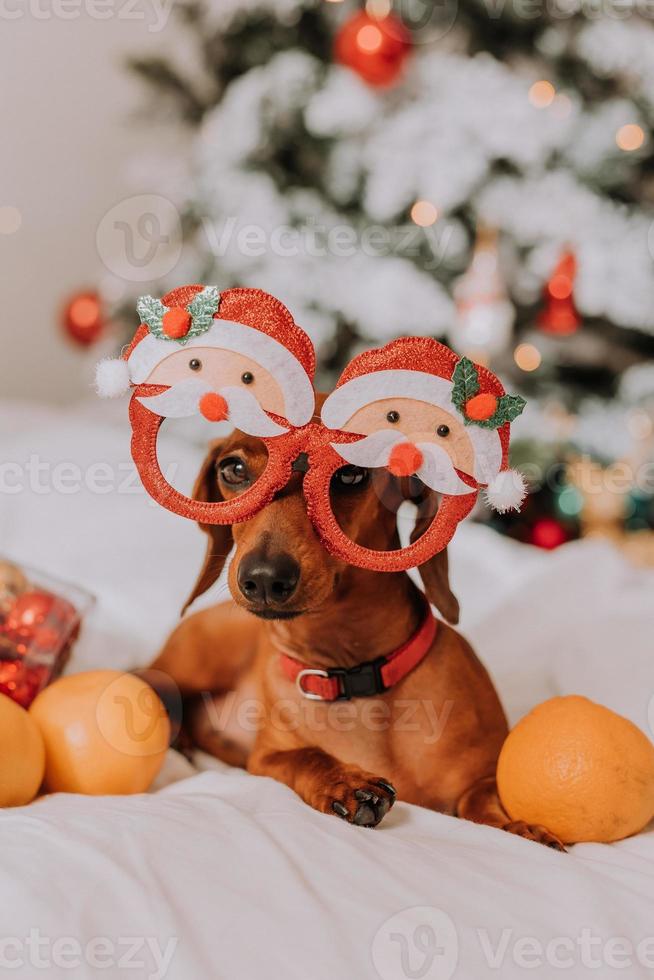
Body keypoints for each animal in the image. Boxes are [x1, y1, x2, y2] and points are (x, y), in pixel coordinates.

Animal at [146, 406, 568, 848]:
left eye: (349, 474)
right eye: (234, 469)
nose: (263, 578)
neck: (352, 673)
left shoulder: (484, 774)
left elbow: (481, 797)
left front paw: (517, 829)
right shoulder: (264, 758)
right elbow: (304, 756)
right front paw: (345, 782)